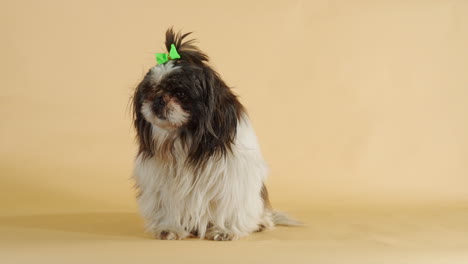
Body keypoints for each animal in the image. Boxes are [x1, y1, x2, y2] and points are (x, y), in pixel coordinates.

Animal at [130, 28, 298, 241]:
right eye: (151, 91)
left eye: (180, 93)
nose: (159, 99)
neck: (184, 138)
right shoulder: (163, 184)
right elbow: (169, 207)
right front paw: (169, 227)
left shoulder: (231, 179)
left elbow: (229, 206)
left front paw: (225, 230)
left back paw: (261, 222)